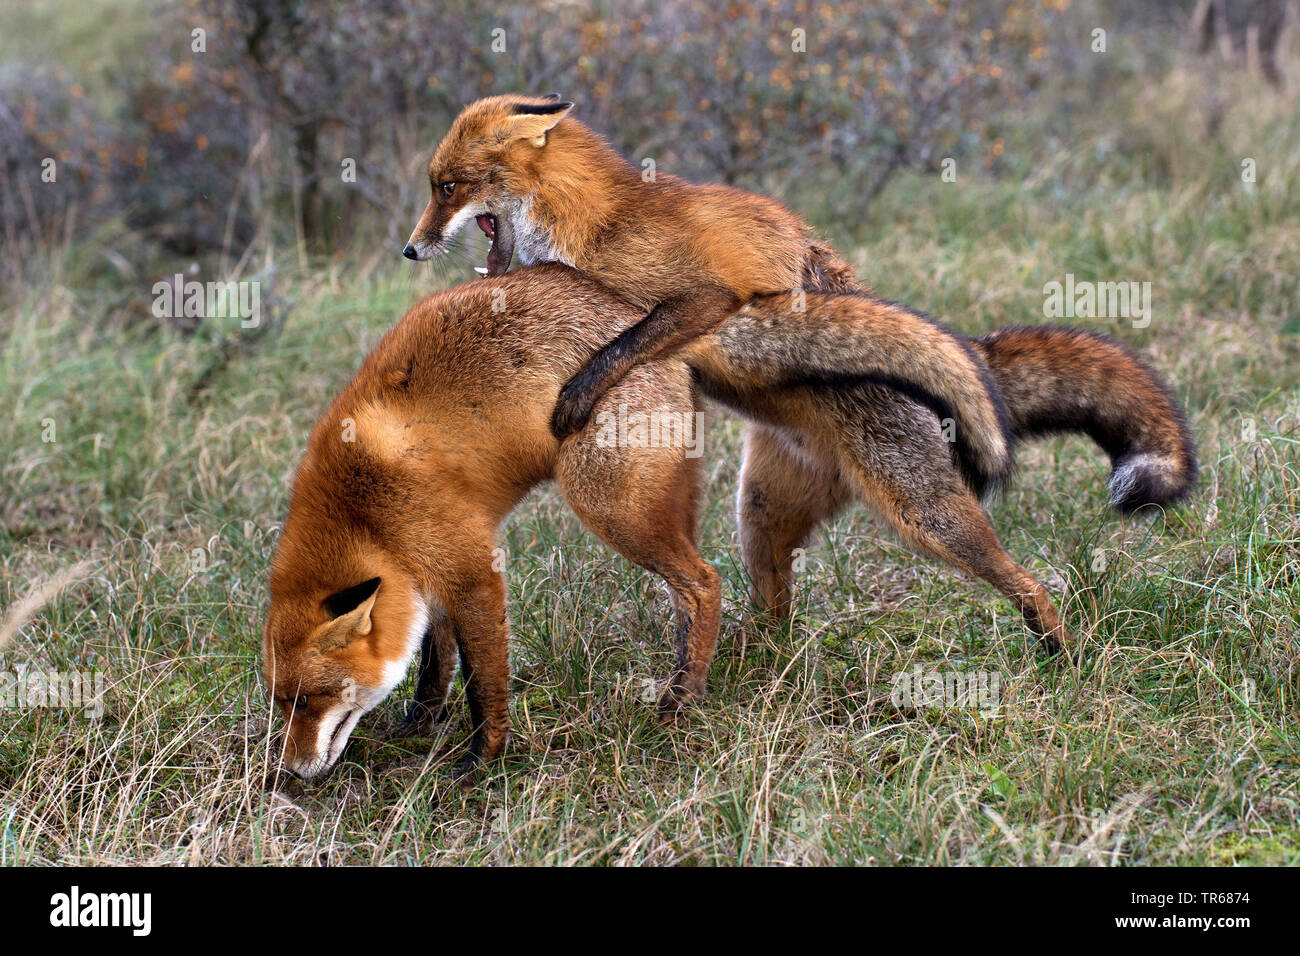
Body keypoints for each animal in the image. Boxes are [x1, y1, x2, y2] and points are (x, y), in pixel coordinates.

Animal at [263, 265, 1196, 780]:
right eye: (283, 704)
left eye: (315, 698)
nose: (291, 774)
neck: (364, 500)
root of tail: (652, 324)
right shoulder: (429, 579)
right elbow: (434, 664)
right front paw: (420, 725)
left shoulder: (471, 568)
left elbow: (485, 682)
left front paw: (478, 764)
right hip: (751, 514)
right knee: (739, 601)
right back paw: (729, 672)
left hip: (641, 507)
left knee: (706, 584)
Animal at [403, 94, 1013, 496]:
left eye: (447, 188)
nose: (409, 250)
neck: (585, 219)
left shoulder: (705, 295)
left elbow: (624, 343)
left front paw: (578, 394)